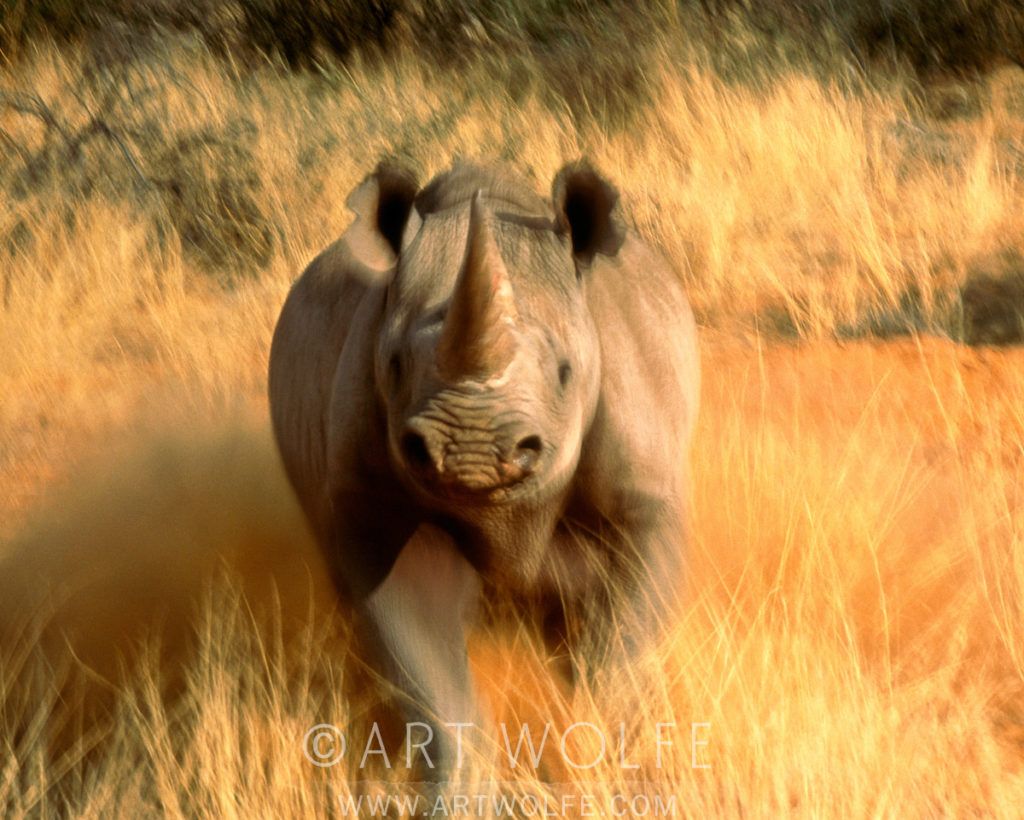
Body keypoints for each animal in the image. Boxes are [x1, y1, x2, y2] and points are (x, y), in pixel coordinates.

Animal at [269, 159, 699, 775]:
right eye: (393, 365)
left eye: (566, 371)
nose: (469, 449)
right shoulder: (377, 511)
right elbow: (430, 676)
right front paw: (458, 785)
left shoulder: (642, 498)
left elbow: (624, 645)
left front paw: (601, 759)